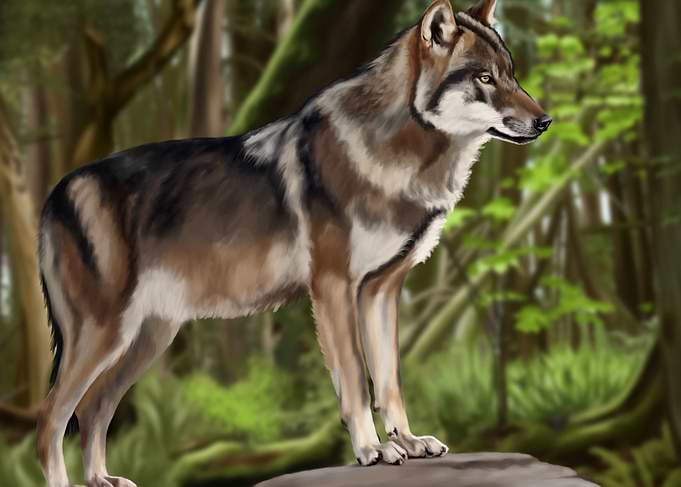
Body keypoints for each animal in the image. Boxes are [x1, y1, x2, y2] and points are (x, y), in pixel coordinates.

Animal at [36, 0, 550, 485]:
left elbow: (389, 381)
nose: (545, 121)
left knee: (93, 409)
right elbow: (356, 380)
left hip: (147, 339)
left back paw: (102, 479)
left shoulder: (381, 292)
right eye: (484, 77)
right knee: (50, 418)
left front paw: (408, 441)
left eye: (511, 72)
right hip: (107, 335)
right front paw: (372, 449)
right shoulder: (333, 288)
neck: (399, 152)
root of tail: (55, 193)